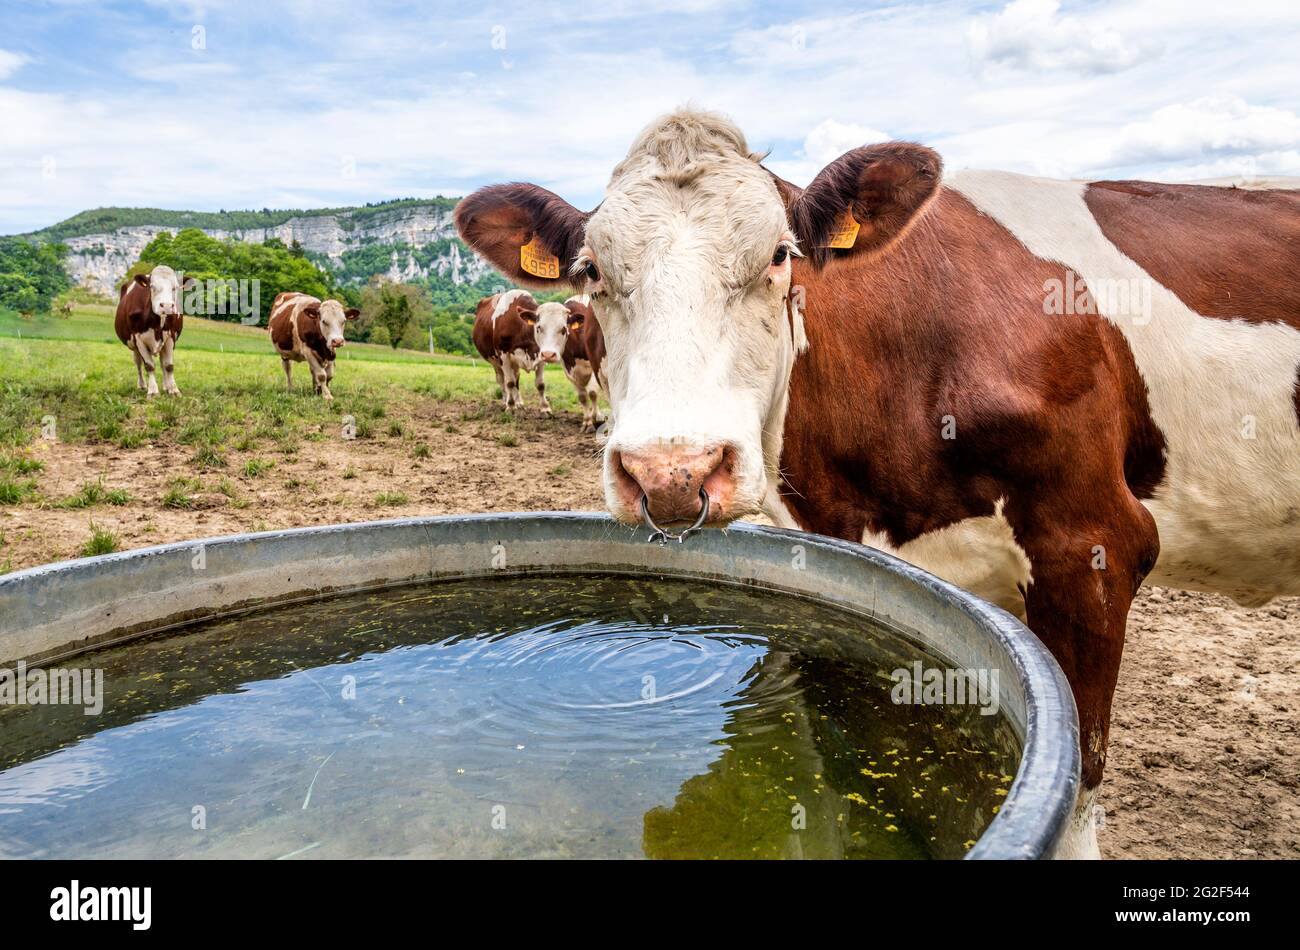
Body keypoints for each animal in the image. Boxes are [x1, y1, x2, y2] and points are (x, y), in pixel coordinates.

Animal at [115, 263, 195, 397]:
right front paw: (152, 391)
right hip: (134, 346)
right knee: (138, 363)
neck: (156, 324)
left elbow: (168, 366)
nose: (167, 306)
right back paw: (142, 385)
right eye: (152, 286)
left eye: (175, 288)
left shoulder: (170, 337)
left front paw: (173, 390)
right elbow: (149, 366)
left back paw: (166, 386)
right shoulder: (138, 339)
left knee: (163, 364)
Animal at [530, 295, 605, 434]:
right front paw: (587, 422)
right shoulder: (569, 370)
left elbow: (592, 392)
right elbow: (582, 397)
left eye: (563, 329)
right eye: (539, 328)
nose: (548, 354)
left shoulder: (595, 367)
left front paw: (596, 419)